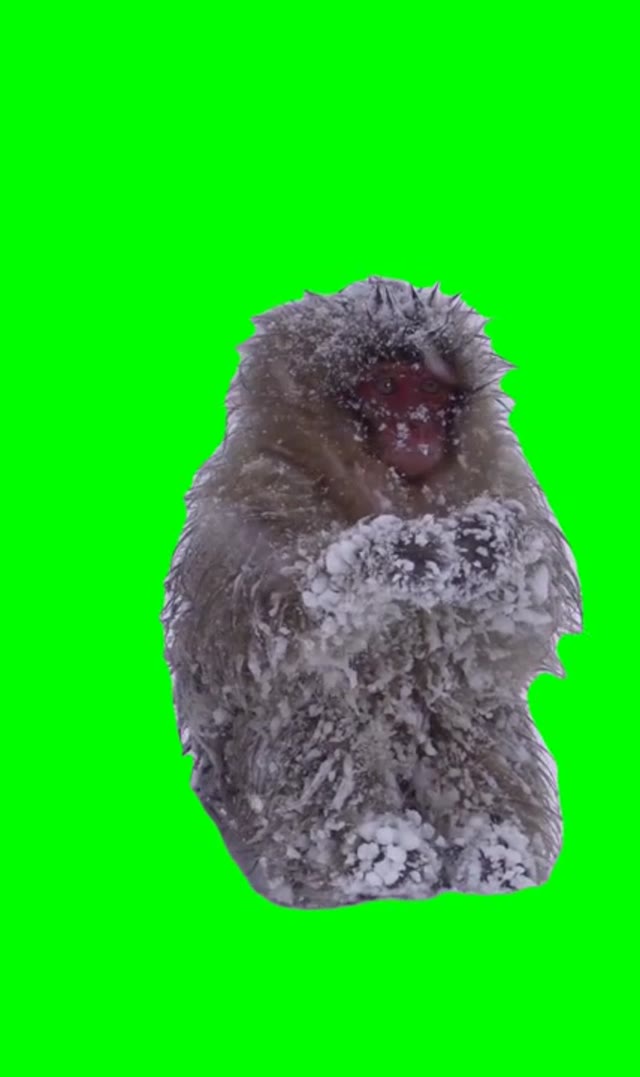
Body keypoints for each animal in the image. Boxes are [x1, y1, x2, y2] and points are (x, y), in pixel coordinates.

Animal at [161, 277, 582, 909]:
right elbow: (265, 630)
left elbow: (513, 627)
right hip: (250, 819)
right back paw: (374, 853)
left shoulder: (501, 477)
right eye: (387, 387)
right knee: (318, 692)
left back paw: (494, 848)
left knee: (461, 702)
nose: (418, 424)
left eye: (430, 389)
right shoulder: (253, 495)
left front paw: (491, 543)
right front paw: (402, 554)